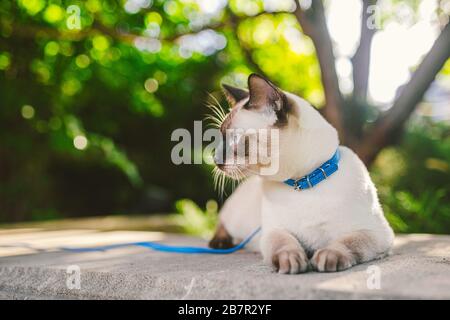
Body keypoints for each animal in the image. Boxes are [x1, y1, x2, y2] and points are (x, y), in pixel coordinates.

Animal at [208, 74, 394, 274]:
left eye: (235, 139)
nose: (215, 159)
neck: (303, 182)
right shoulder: (274, 231)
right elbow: (285, 244)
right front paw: (291, 261)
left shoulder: (373, 232)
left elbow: (346, 243)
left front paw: (328, 257)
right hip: (236, 217)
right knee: (222, 224)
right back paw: (219, 243)